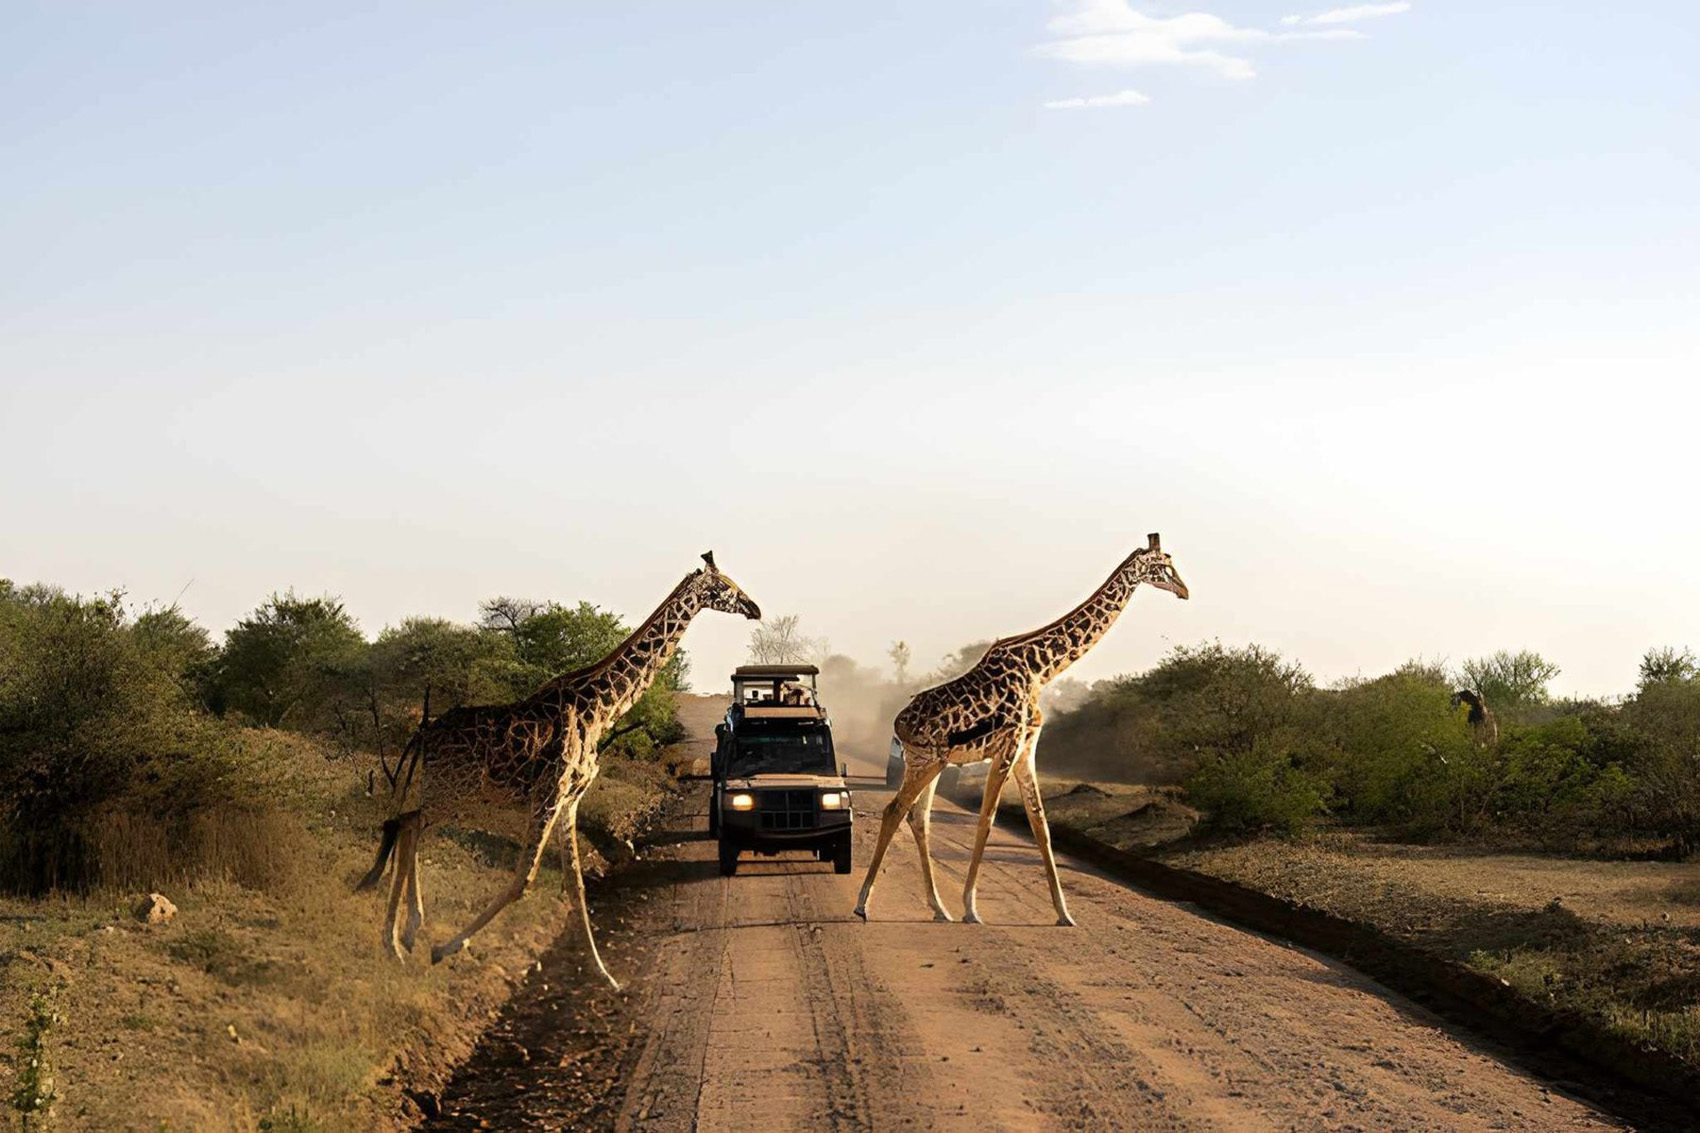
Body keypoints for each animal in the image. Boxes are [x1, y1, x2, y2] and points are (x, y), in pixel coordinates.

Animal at [356, 552, 761, 987]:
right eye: (725, 587)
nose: (754, 608)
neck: (602, 707)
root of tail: (423, 735)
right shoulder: (550, 792)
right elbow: (524, 880)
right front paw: (446, 948)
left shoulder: (571, 798)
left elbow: (575, 884)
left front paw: (606, 976)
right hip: (454, 790)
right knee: (408, 822)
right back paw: (401, 939)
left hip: (449, 791)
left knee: (406, 823)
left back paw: (402, 936)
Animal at [855, 534, 1189, 926]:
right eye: (1165, 564)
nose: (1184, 590)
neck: (1042, 670)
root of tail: (899, 723)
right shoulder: (1008, 746)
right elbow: (986, 820)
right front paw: (972, 908)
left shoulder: (1027, 748)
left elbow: (1040, 825)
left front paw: (1065, 914)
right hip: (928, 761)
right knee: (894, 811)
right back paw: (864, 904)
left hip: (929, 762)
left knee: (919, 818)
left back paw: (939, 908)